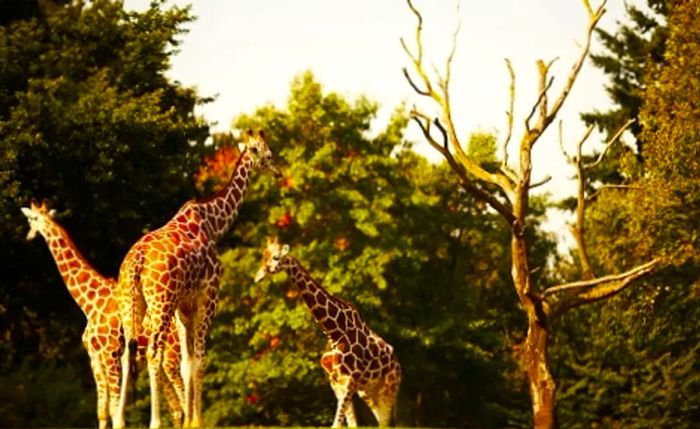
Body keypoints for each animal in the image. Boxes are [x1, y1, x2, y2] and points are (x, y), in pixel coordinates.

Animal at [21, 201, 185, 428]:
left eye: (32, 219)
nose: (28, 236)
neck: (89, 303)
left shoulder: (111, 355)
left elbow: (116, 412)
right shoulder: (95, 358)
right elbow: (103, 411)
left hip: (171, 357)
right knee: (176, 408)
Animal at [116, 130, 278, 428]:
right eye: (267, 154)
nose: (277, 171)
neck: (215, 225)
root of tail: (137, 262)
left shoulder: (184, 307)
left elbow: (186, 364)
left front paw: (190, 420)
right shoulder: (208, 297)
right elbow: (200, 361)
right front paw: (197, 421)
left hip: (131, 303)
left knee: (125, 354)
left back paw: (119, 420)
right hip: (161, 303)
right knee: (153, 353)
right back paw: (155, 421)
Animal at [254, 236, 402, 426]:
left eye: (276, 257)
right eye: (263, 256)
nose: (258, 276)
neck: (334, 331)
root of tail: (397, 362)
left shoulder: (349, 380)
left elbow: (337, 423)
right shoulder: (336, 382)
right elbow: (350, 424)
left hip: (389, 388)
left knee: (385, 421)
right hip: (369, 392)